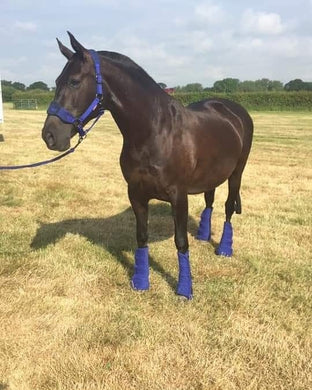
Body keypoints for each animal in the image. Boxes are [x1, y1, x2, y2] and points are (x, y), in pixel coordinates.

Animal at [41, 32, 252, 298]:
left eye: (75, 82)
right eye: (57, 81)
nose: (49, 136)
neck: (156, 131)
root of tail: (234, 110)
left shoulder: (178, 196)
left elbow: (180, 241)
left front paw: (184, 289)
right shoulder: (136, 193)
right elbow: (141, 236)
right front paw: (140, 282)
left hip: (237, 173)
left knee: (227, 208)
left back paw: (224, 249)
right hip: (211, 175)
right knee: (210, 201)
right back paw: (204, 236)